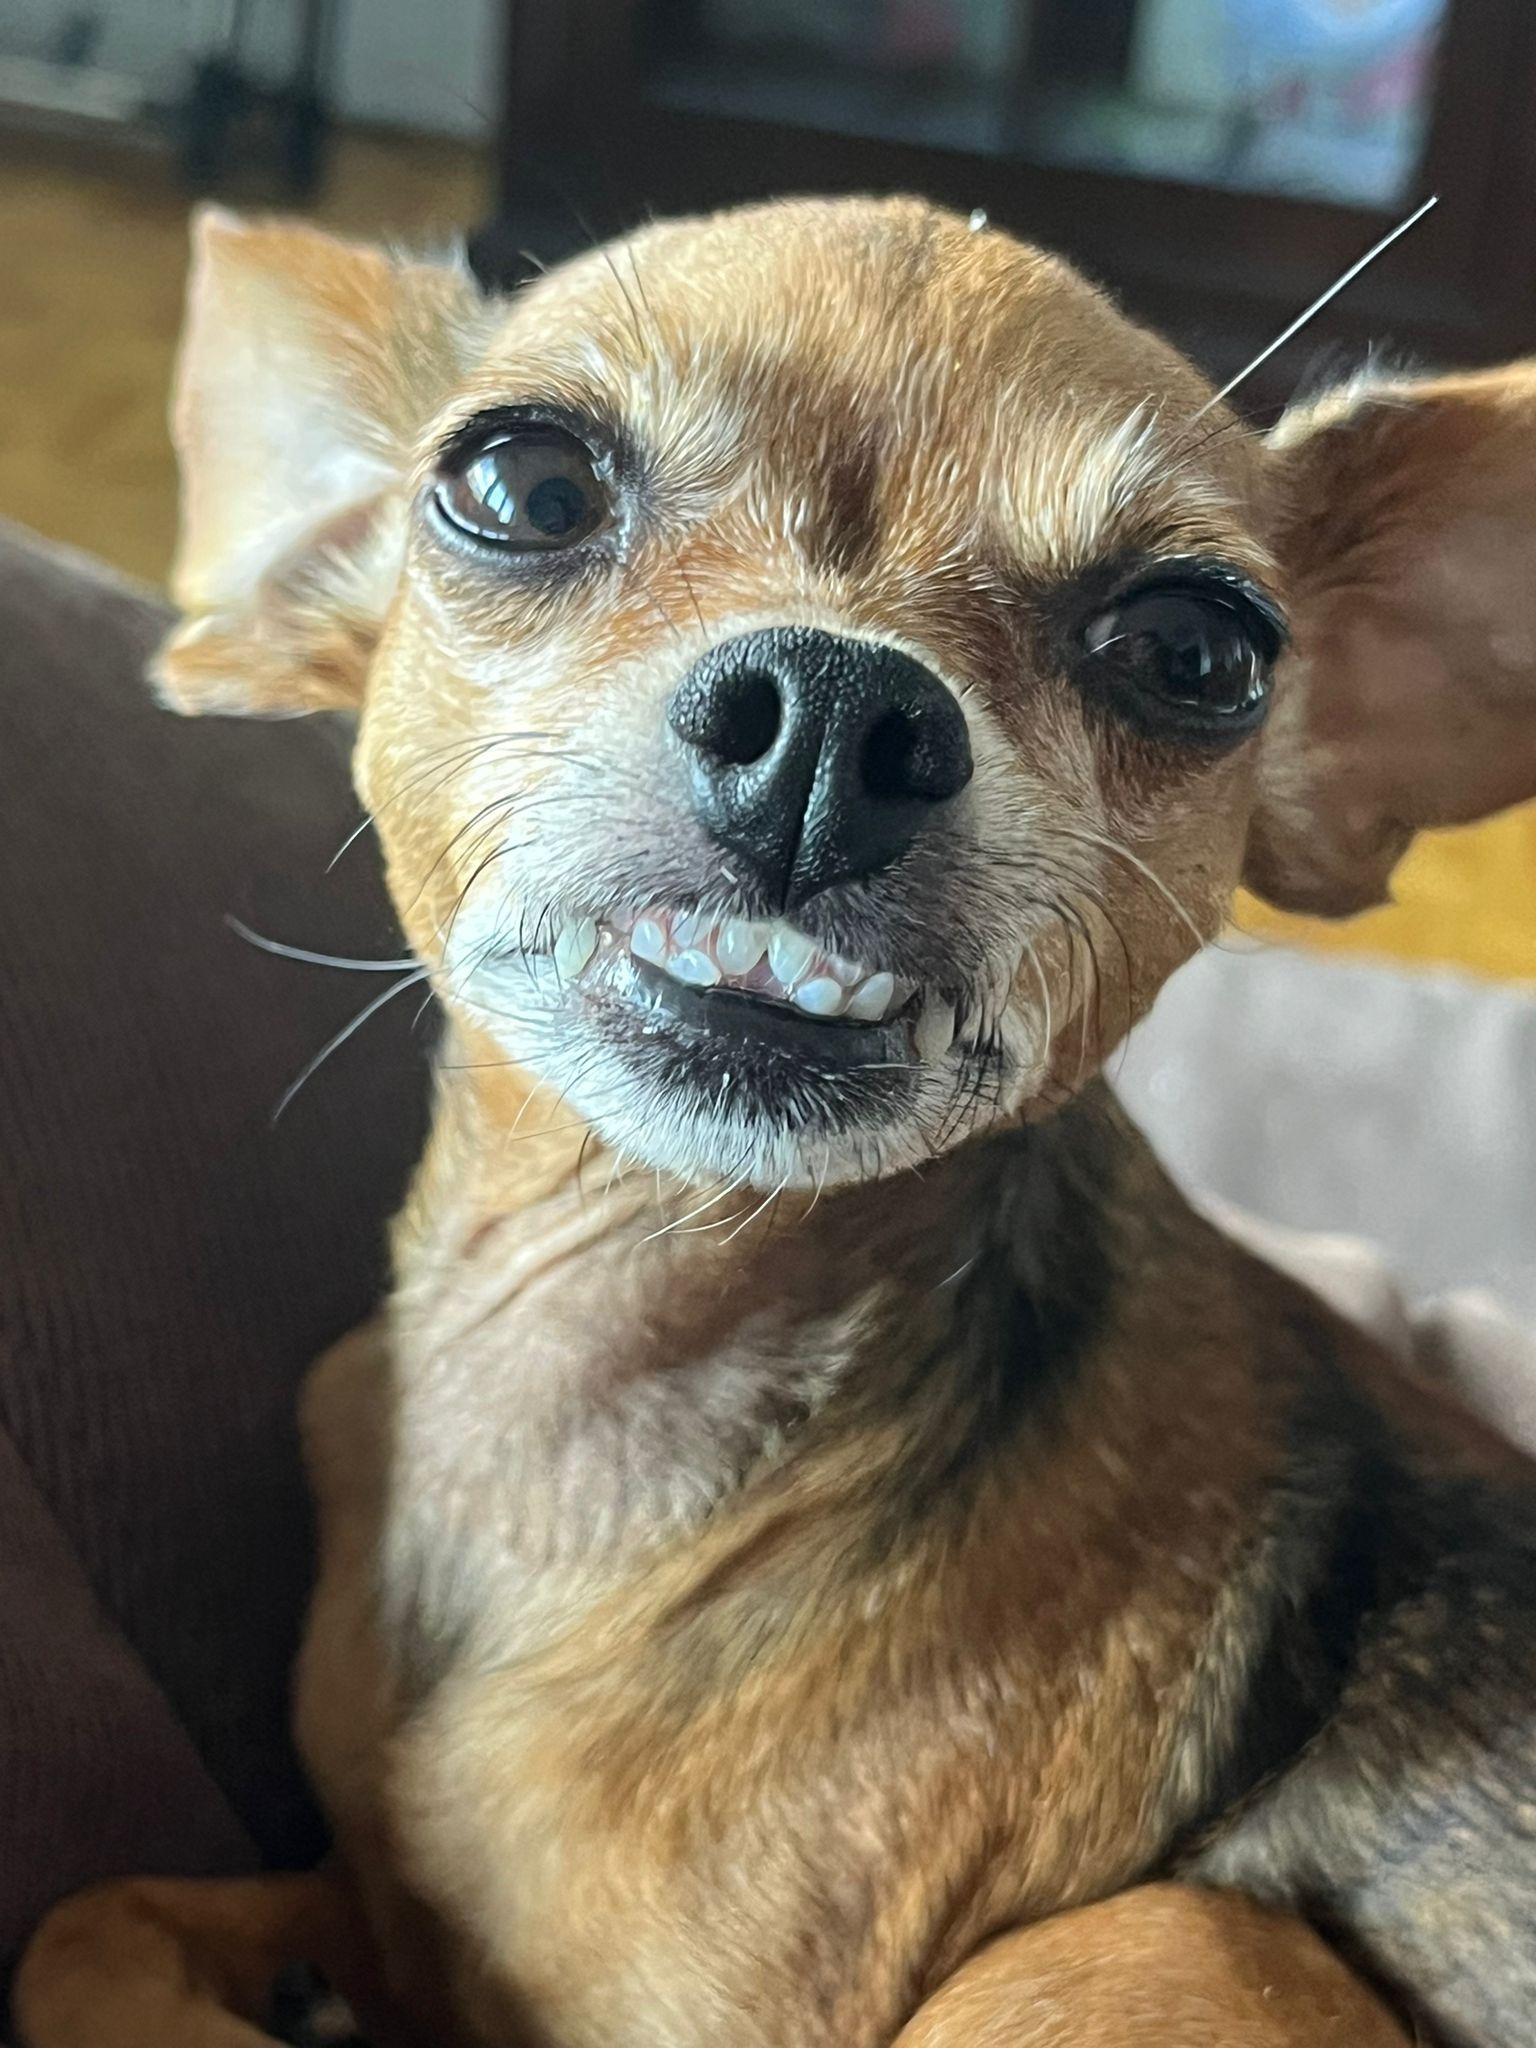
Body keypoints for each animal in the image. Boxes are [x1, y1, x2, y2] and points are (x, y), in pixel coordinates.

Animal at [16, 196, 1536, 2048]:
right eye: (526, 485)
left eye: (1197, 650)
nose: (834, 710)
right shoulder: (365, 1892)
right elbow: (87, 1926)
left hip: (1138, 1944)